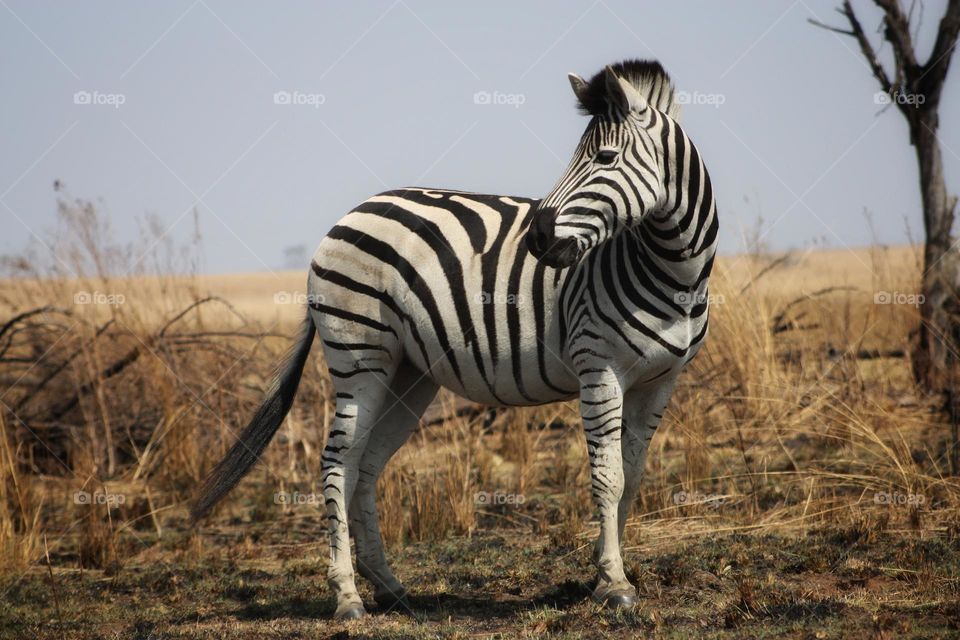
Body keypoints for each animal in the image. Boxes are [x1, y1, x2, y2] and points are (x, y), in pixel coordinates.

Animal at [192, 59, 718, 619]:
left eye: (605, 157)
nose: (537, 238)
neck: (675, 272)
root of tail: (352, 212)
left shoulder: (661, 381)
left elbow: (633, 478)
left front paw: (603, 575)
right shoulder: (599, 368)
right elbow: (609, 477)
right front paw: (614, 583)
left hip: (408, 374)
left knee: (366, 467)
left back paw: (389, 586)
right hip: (360, 357)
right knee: (339, 463)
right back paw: (347, 596)